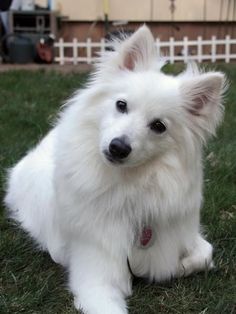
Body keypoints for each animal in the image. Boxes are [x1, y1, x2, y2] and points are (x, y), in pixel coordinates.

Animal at [4, 25, 226, 312]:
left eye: (158, 126)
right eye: (121, 105)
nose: (118, 147)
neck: (128, 186)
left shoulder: (183, 235)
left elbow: (202, 255)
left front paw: (181, 266)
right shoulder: (96, 276)